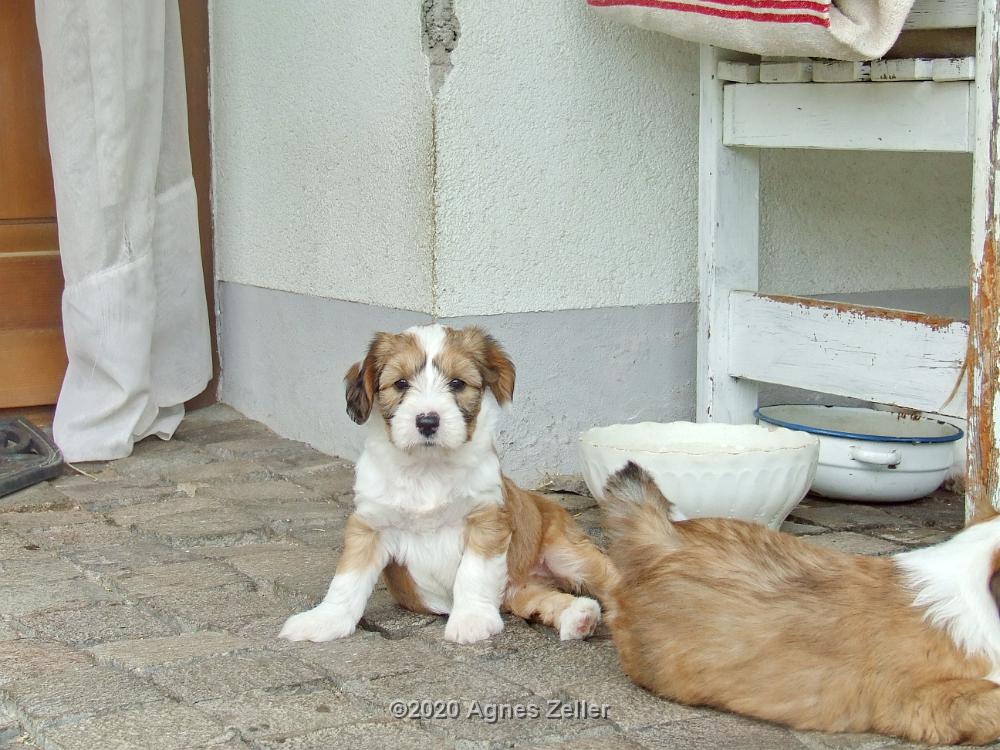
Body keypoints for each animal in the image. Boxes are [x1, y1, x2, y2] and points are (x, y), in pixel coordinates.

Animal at [276, 324, 616, 648]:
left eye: (457, 384)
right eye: (401, 384)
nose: (427, 421)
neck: (428, 467)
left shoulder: (486, 519)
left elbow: (472, 573)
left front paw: (471, 620)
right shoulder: (369, 525)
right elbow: (348, 579)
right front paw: (324, 620)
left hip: (568, 552)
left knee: (610, 577)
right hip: (521, 590)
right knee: (545, 598)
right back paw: (579, 616)